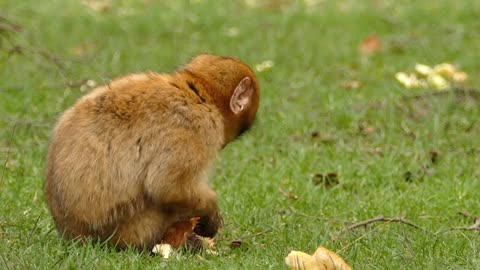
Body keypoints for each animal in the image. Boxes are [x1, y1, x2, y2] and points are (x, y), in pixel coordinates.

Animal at [44, 53, 260, 250]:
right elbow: (167, 186)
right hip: (134, 228)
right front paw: (211, 215)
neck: (198, 94)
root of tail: (72, 235)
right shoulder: (196, 127)